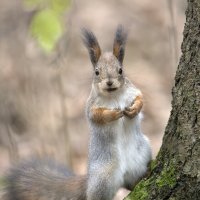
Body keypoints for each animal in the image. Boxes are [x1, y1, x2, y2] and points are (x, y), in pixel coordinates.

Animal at [3, 25, 152, 200]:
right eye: (96, 72)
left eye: (121, 70)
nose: (109, 82)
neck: (113, 95)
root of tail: (89, 180)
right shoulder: (91, 106)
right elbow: (97, 116)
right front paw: (113, 114)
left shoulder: (132, 91)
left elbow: (140, 99)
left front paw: (133, 109)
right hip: (103, 178)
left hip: (142, 154)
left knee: (132, 182)